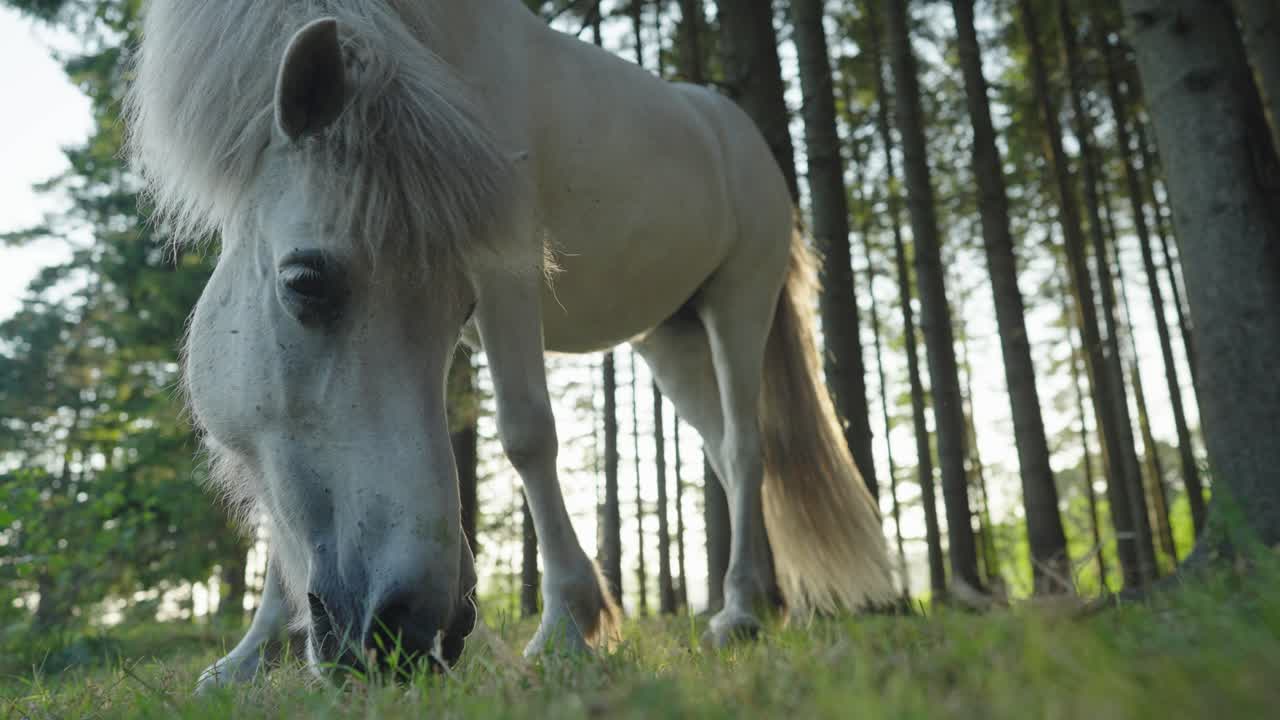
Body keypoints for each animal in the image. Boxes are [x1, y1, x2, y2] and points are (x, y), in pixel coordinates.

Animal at [125, 0, 893, 687]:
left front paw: (569, 626)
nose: (414, 629)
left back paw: (740, 613)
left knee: (743, 448)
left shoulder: (509, 271)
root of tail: (734, 126)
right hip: (669, 339)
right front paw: (253, 655)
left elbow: (527, 436)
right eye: (305, 281)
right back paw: (762, 602)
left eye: (462, 303)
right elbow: (278, 512)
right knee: (725, 457)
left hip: (740, 302)